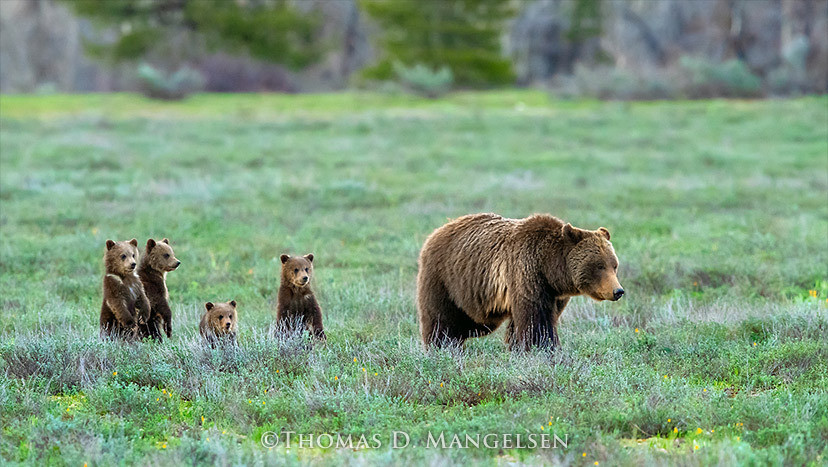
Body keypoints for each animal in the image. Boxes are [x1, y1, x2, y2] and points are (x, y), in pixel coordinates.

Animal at [417, 213, 624, 351]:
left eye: (614, 265)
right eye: (599, 266)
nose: (618, 291)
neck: (549, 268)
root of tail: (437, 231)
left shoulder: (554, 294)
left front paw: (518, 347)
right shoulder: (527, 273)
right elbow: (536, 321)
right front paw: (543, 349)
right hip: (444, 278)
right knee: (441, 318)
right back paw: (442, 346)